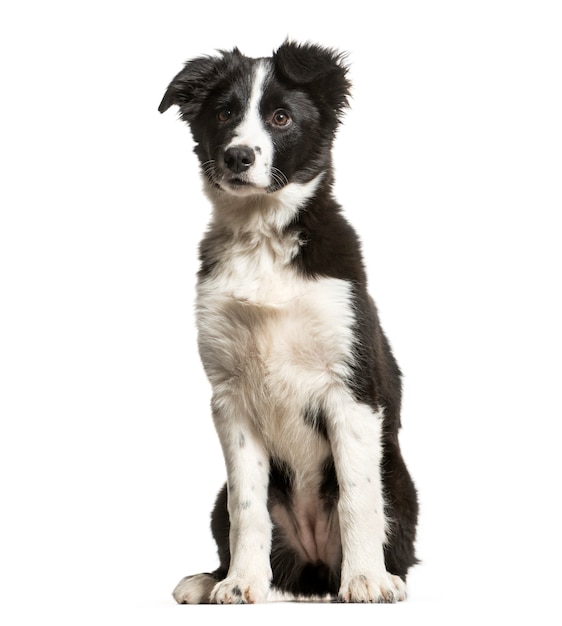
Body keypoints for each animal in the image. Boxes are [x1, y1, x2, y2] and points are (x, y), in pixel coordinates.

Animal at [158, 41, 416, 604]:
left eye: (281, 118)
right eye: (224, 114)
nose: (238, 156)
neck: (264, 239)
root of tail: (315, 568)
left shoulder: (351, 388)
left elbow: (358, 497)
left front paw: (366, 580)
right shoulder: (229, 396)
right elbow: (247, 508)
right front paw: (240, 583)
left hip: (400, 480)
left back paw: (381, 576)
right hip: (219, 499)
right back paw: (212, 578)